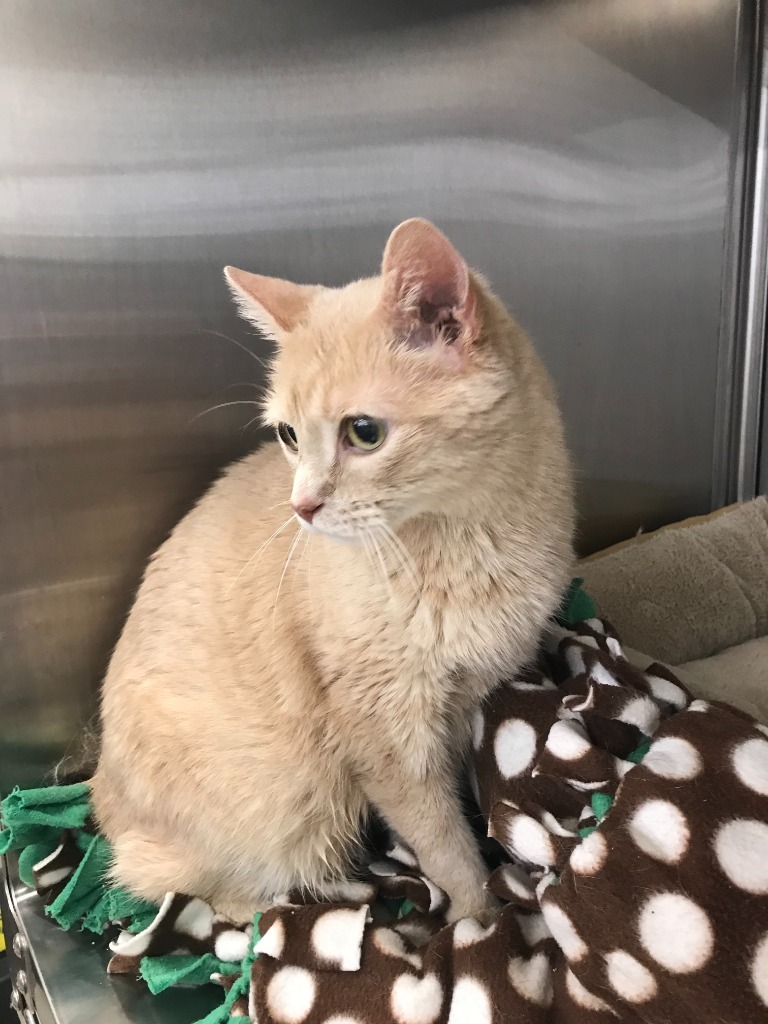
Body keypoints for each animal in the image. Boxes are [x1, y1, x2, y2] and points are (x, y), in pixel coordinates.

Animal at [90, 220, 573, 925]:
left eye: (363, 432)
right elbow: (440, 840)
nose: (303, 507)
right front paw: (478, 918)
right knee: (200, 892)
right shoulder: (386, 734)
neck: (465, 539)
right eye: (289, 435)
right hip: (282, 814)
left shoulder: (462, 702)